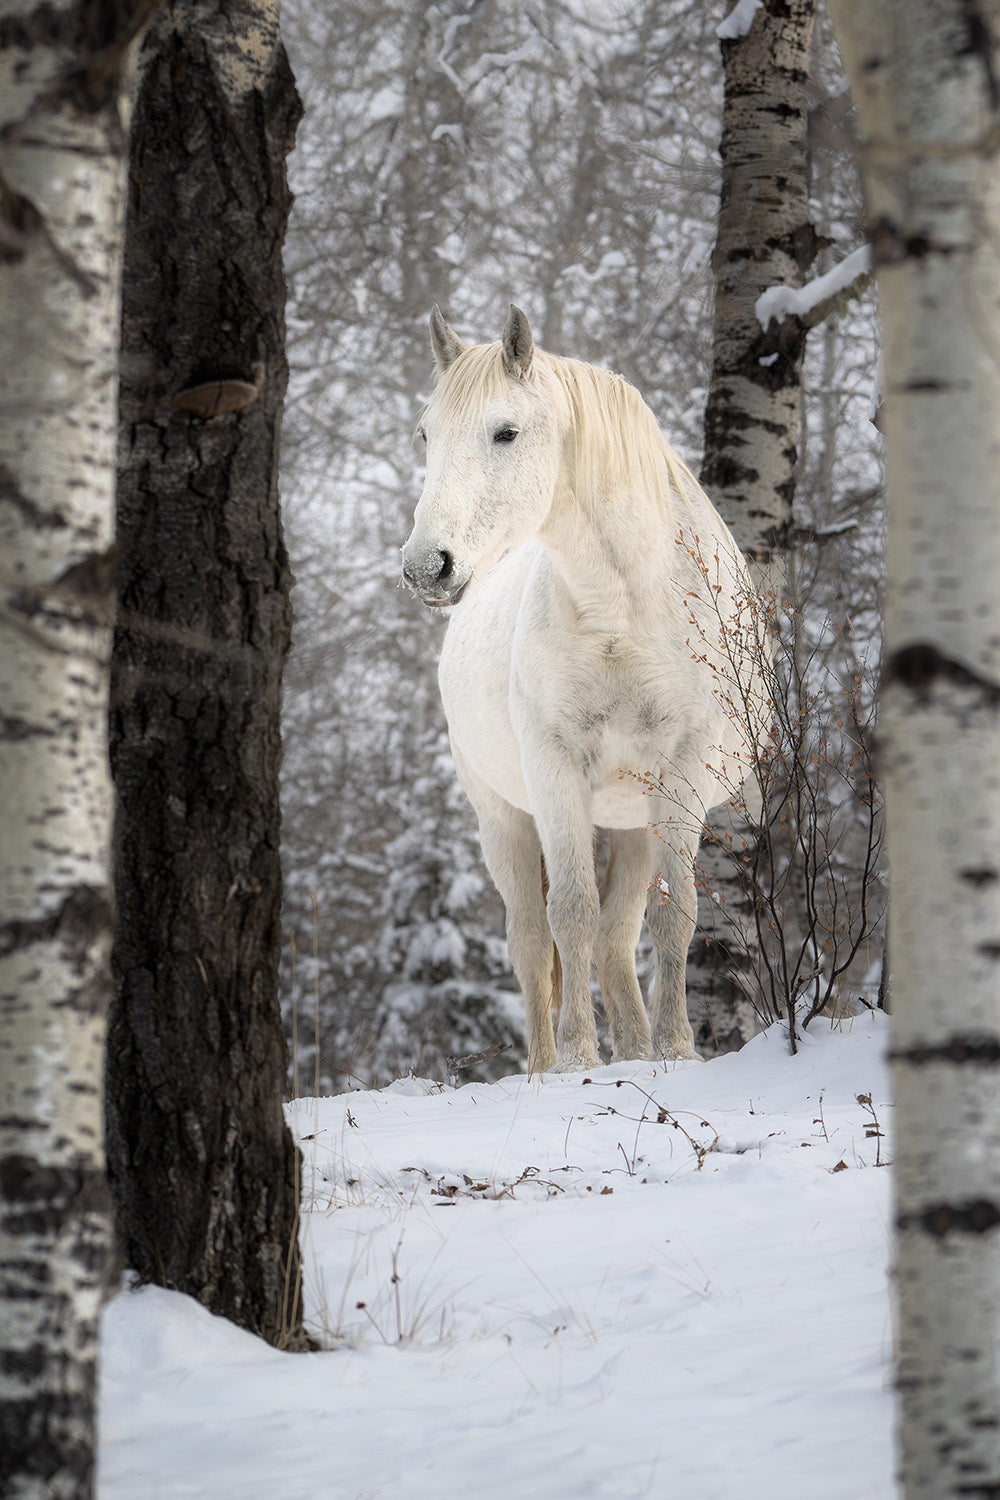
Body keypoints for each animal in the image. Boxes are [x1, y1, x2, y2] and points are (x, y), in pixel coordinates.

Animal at [402, 304, 768, 1072]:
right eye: (426, 433)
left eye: (506, 431)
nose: (427, 566)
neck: (624, 605)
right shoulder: (555, 770)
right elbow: (569, 912)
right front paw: (576, 1060)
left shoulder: (681, 774)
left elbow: (674, 914)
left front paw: (677, 1052)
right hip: (505, 819)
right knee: (533, 944)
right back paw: (546, 1065)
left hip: (633, 821)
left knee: (616, 940)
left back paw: (637, 1049)